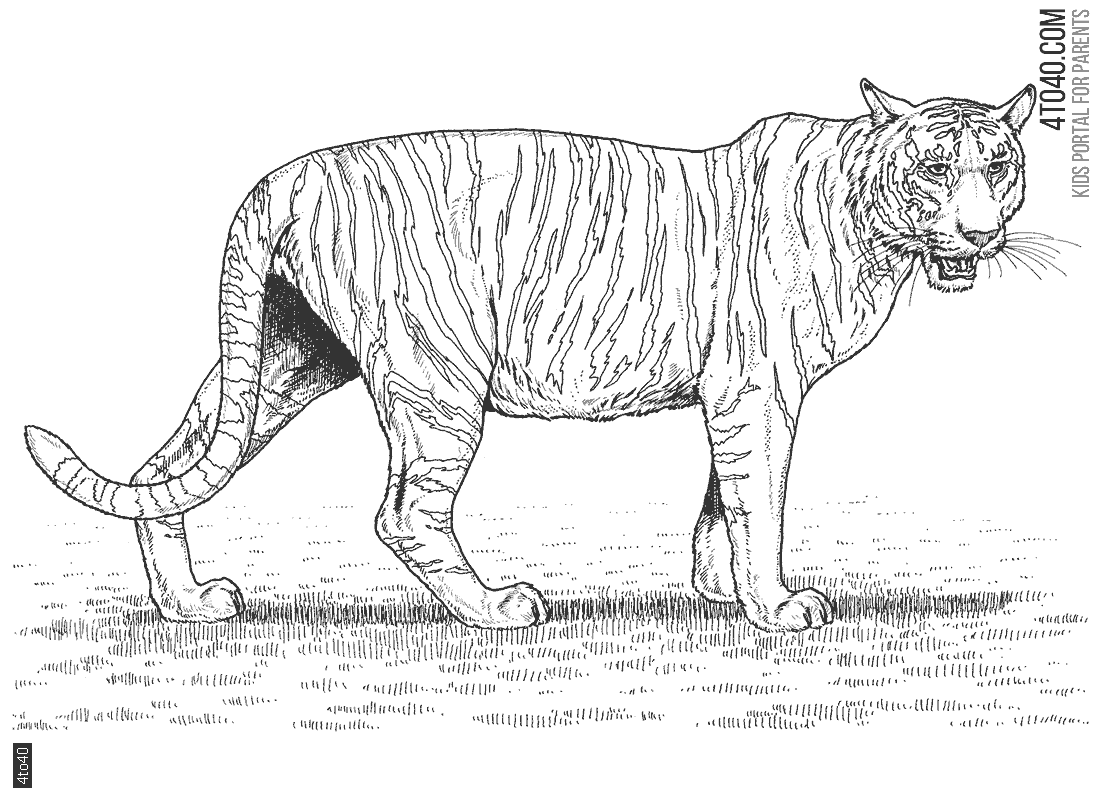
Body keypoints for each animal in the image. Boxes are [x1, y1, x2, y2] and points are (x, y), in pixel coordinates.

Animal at [25, 80, 1036, 632]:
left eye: (1001, 166)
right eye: (935, 167)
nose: (979, 232)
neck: (868, 214)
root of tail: (289, 175)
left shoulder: (733, 394)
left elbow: (722, 497)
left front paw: (716, 588)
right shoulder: (759, 390)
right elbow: (761, 501)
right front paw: (774, 605)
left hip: (281, 361)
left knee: (164, 465)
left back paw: (187, 603)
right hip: (437, 382)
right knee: (405, 514)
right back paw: (497, 608)